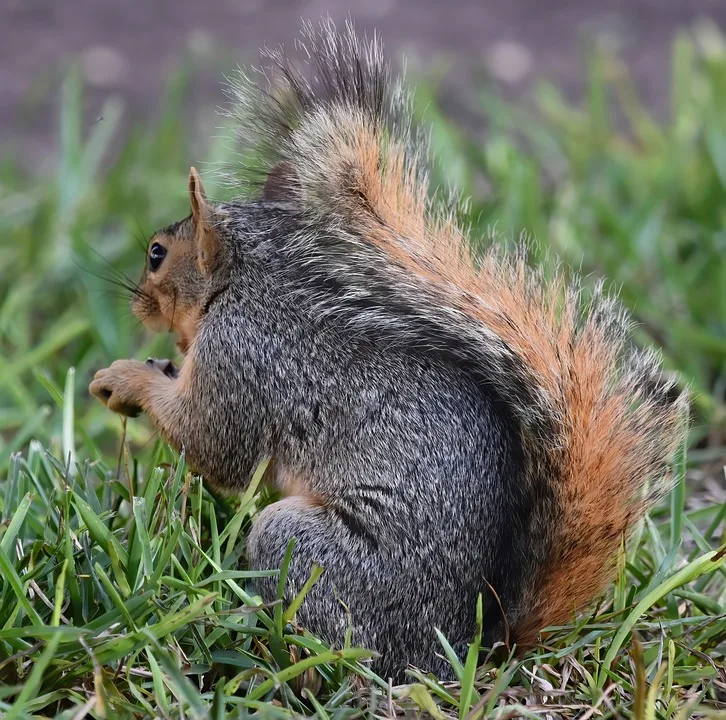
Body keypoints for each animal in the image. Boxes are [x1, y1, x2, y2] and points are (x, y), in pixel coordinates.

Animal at [89, 19, 689, 681]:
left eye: (156, 254)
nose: (137, 305)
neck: (245, 286)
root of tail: (465, 648)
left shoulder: (243, 360)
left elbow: (215, 444)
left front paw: (127, 378)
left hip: (300, 547)